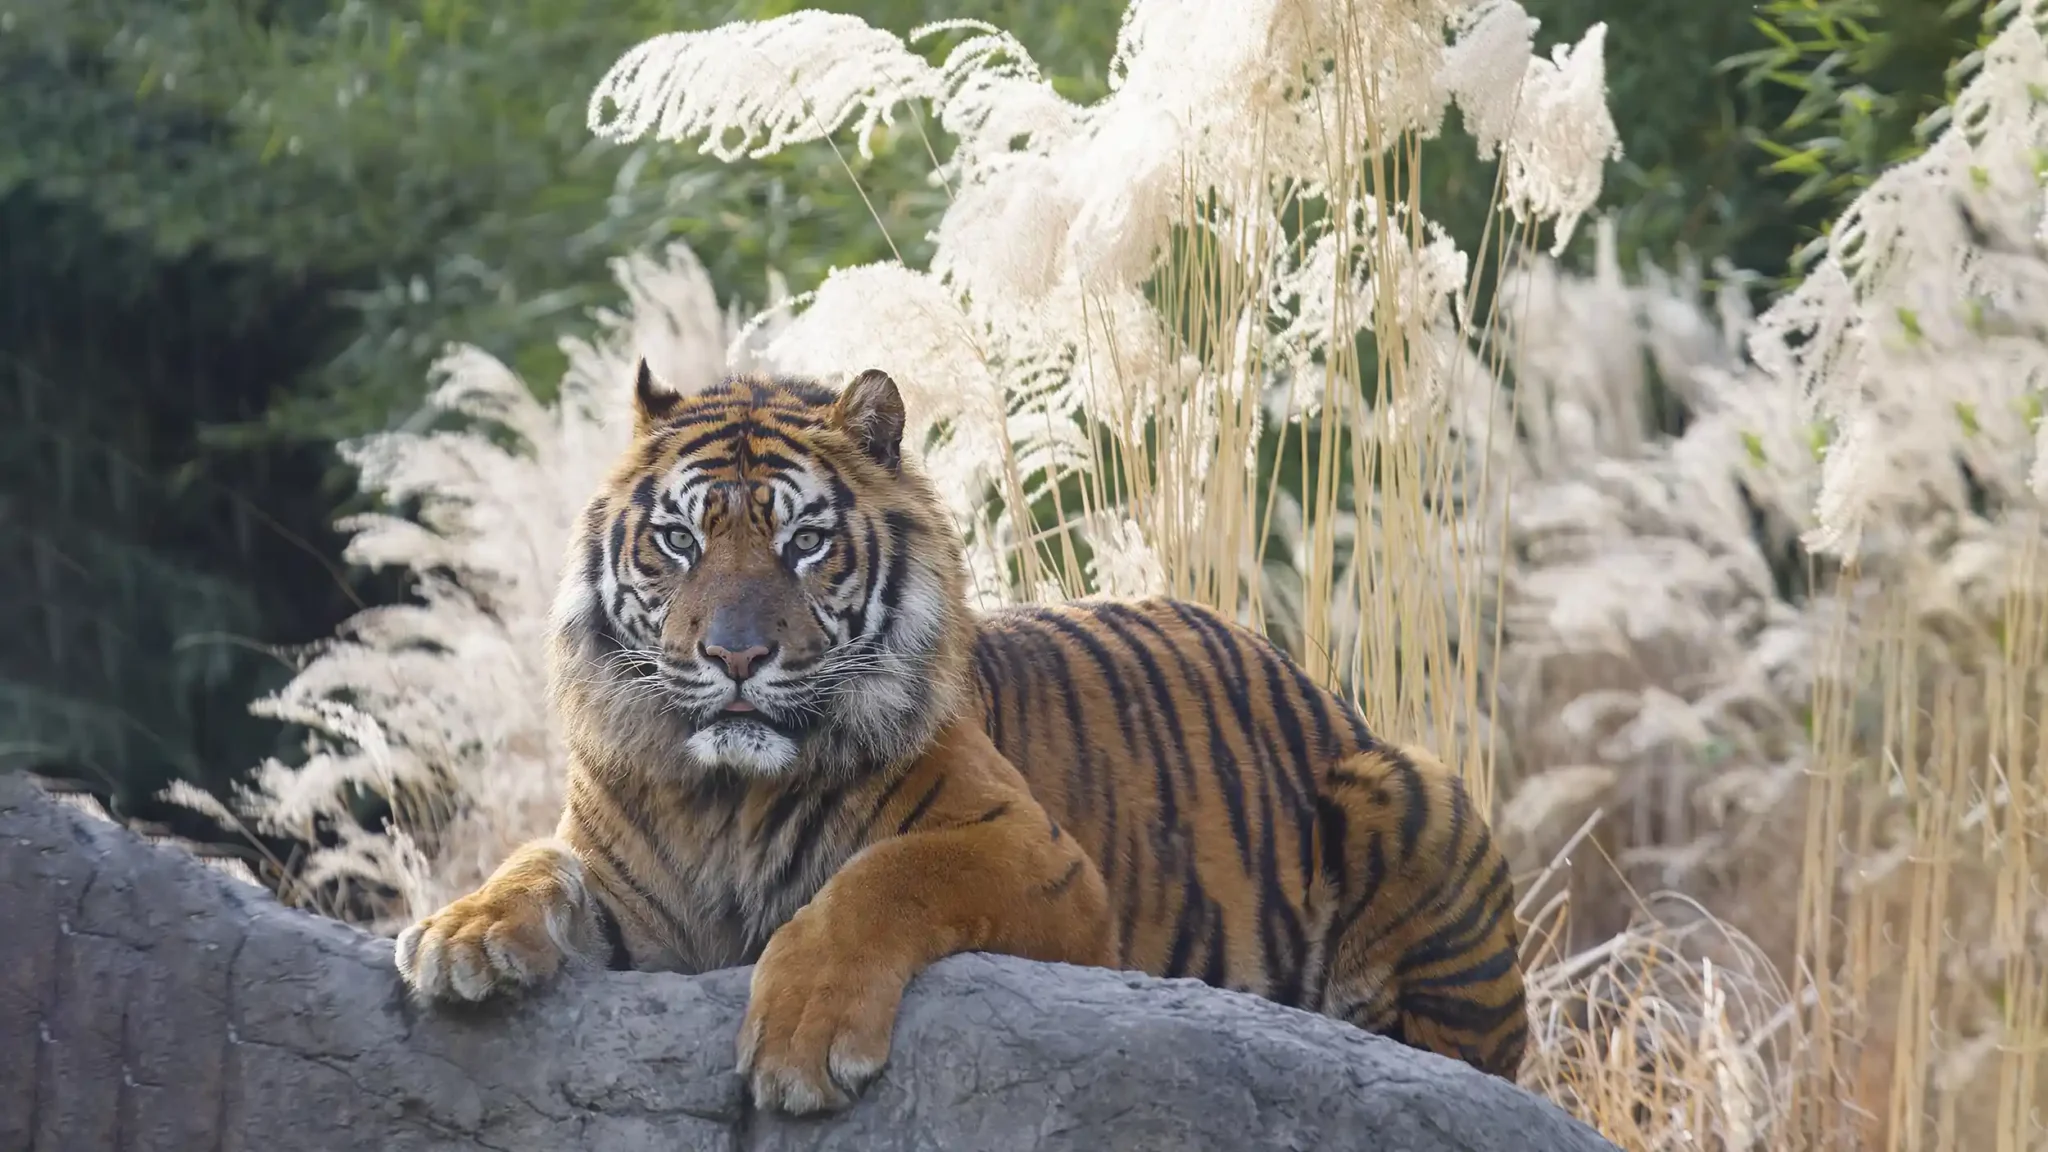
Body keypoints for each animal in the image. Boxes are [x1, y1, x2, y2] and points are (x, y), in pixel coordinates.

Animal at [393, 362, 1528, 1115]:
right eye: (676, 541)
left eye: (804, 543)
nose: (734, 656)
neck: (727, 794)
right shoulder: (633, 900)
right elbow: (532, 861)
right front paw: (461, 934)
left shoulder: (1038, 859)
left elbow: (880, 878)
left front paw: (802, 1039)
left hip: (1410, 786)